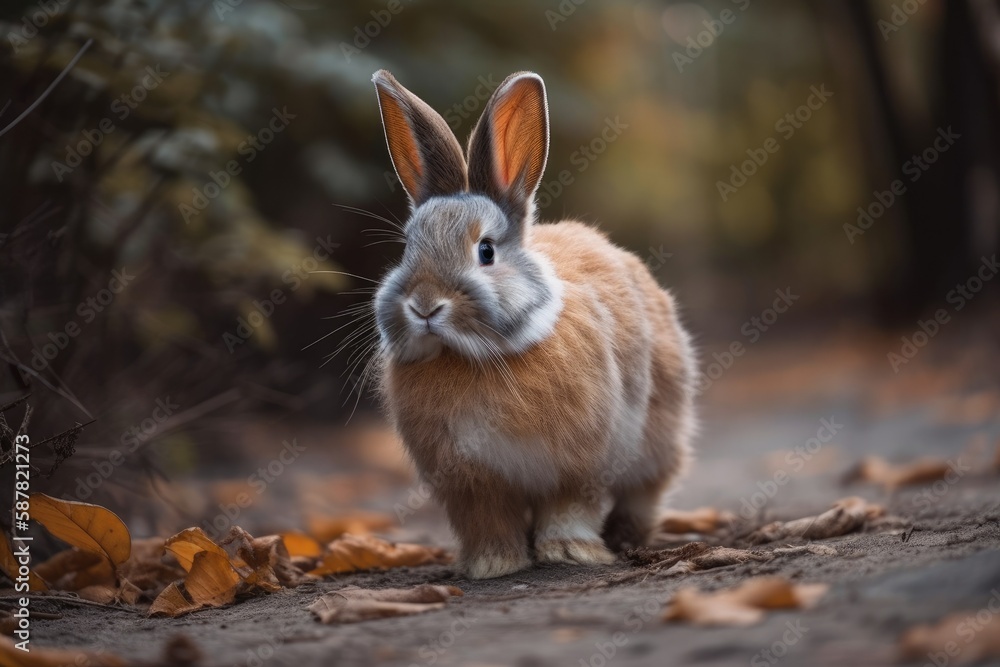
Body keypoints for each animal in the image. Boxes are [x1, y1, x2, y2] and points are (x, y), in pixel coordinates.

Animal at [370, 69, 696, 580]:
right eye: (408, 248)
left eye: (486, 251)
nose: (423, 306)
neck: (478, 356)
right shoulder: (472, 483)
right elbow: (488, 520)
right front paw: (493, 565)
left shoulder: (579, 465)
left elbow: (570, 507)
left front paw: (568, 553)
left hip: (660, 434)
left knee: (645, 492)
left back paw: (623, 539)